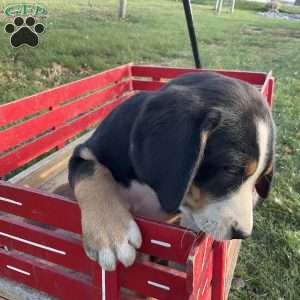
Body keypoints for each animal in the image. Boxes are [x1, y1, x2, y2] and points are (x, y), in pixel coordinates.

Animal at [69, 71, 276, 270]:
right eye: (231, 169)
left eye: (261, 177)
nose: (242, 234)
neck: (148, 188)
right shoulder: (83, 153)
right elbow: (92, 173)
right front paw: (111, 234)